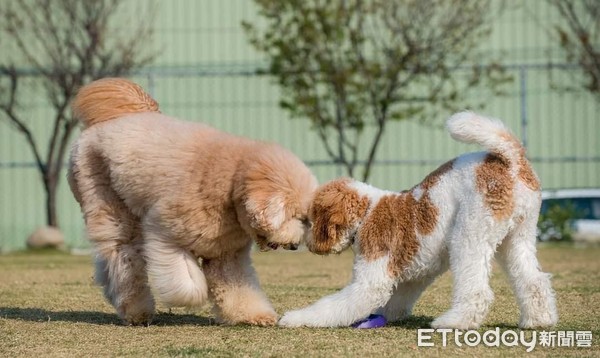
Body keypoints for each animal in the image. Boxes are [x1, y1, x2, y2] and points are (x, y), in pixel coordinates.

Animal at [278, 112, 560, 330]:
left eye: (311, 220)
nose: (306, 244)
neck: (367, 212)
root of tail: (512, 161)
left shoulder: (371, 280)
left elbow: (335, 305)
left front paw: (295, 318)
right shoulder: (412, 275)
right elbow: (394, 301)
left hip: (470, 235)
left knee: (477, 291)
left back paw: (452, 322)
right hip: (516, 238)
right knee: (534, 281)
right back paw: (538, 321)